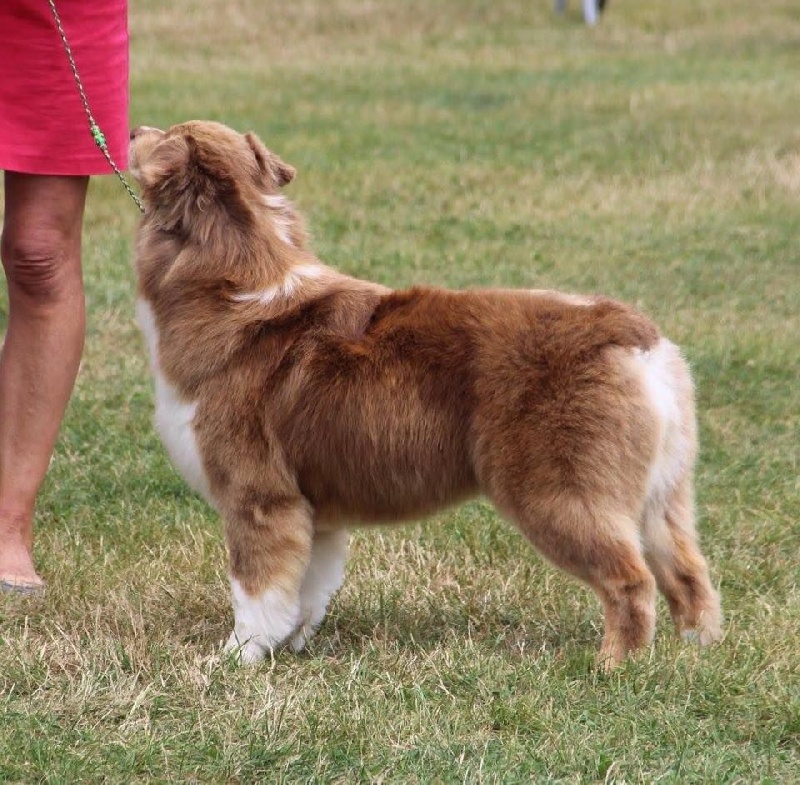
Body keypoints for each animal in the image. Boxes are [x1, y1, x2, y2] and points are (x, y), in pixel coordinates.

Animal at [128, 122, 720, 668]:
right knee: (688, 570)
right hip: (663, 492)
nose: (131, 129)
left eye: (168, 130)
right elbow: (306, 589)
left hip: (560, 491)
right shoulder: (314, 507)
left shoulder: (258, 495)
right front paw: (292, 646)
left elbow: (257, 591)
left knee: (631, 579)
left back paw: (614, 667)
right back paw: (698, 652)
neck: (236, 270)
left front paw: (236, 658)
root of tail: (629, 332)